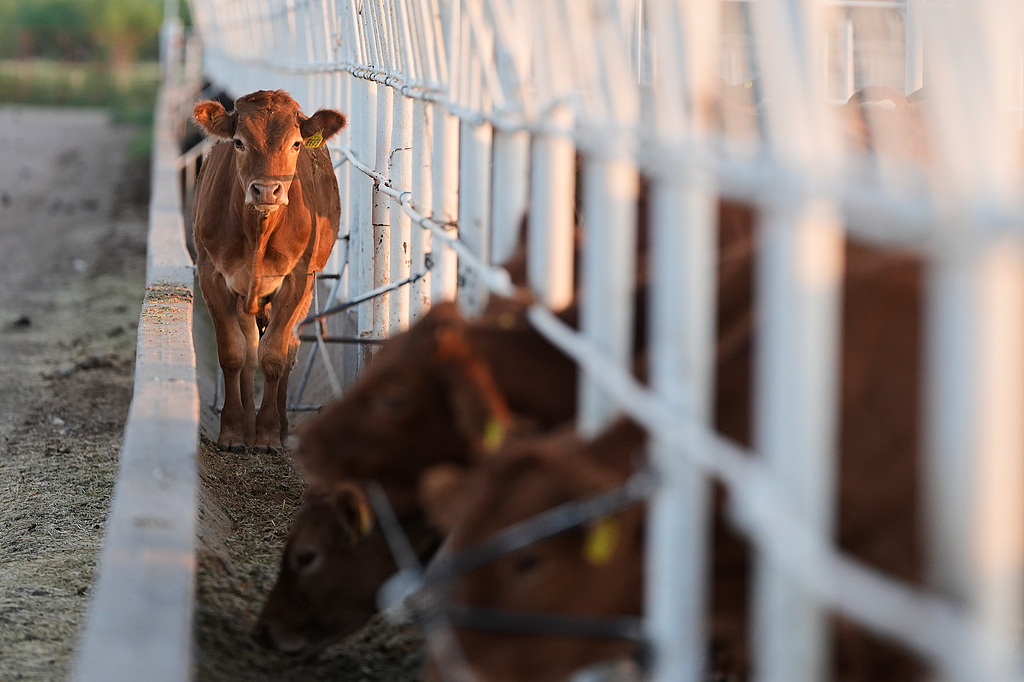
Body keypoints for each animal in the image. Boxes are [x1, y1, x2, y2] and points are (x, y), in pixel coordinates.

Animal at [191, 89, 346, 451]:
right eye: (239, 142)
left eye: (296, 144)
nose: (266, 190)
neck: (257, 234)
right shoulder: (211, 275)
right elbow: (233, 353)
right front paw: (234, 431)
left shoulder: (296, 280)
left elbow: (274, 355)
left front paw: (267, 435)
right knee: (249, 349)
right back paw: (248, 423)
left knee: (289, 348)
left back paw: (280, 427)